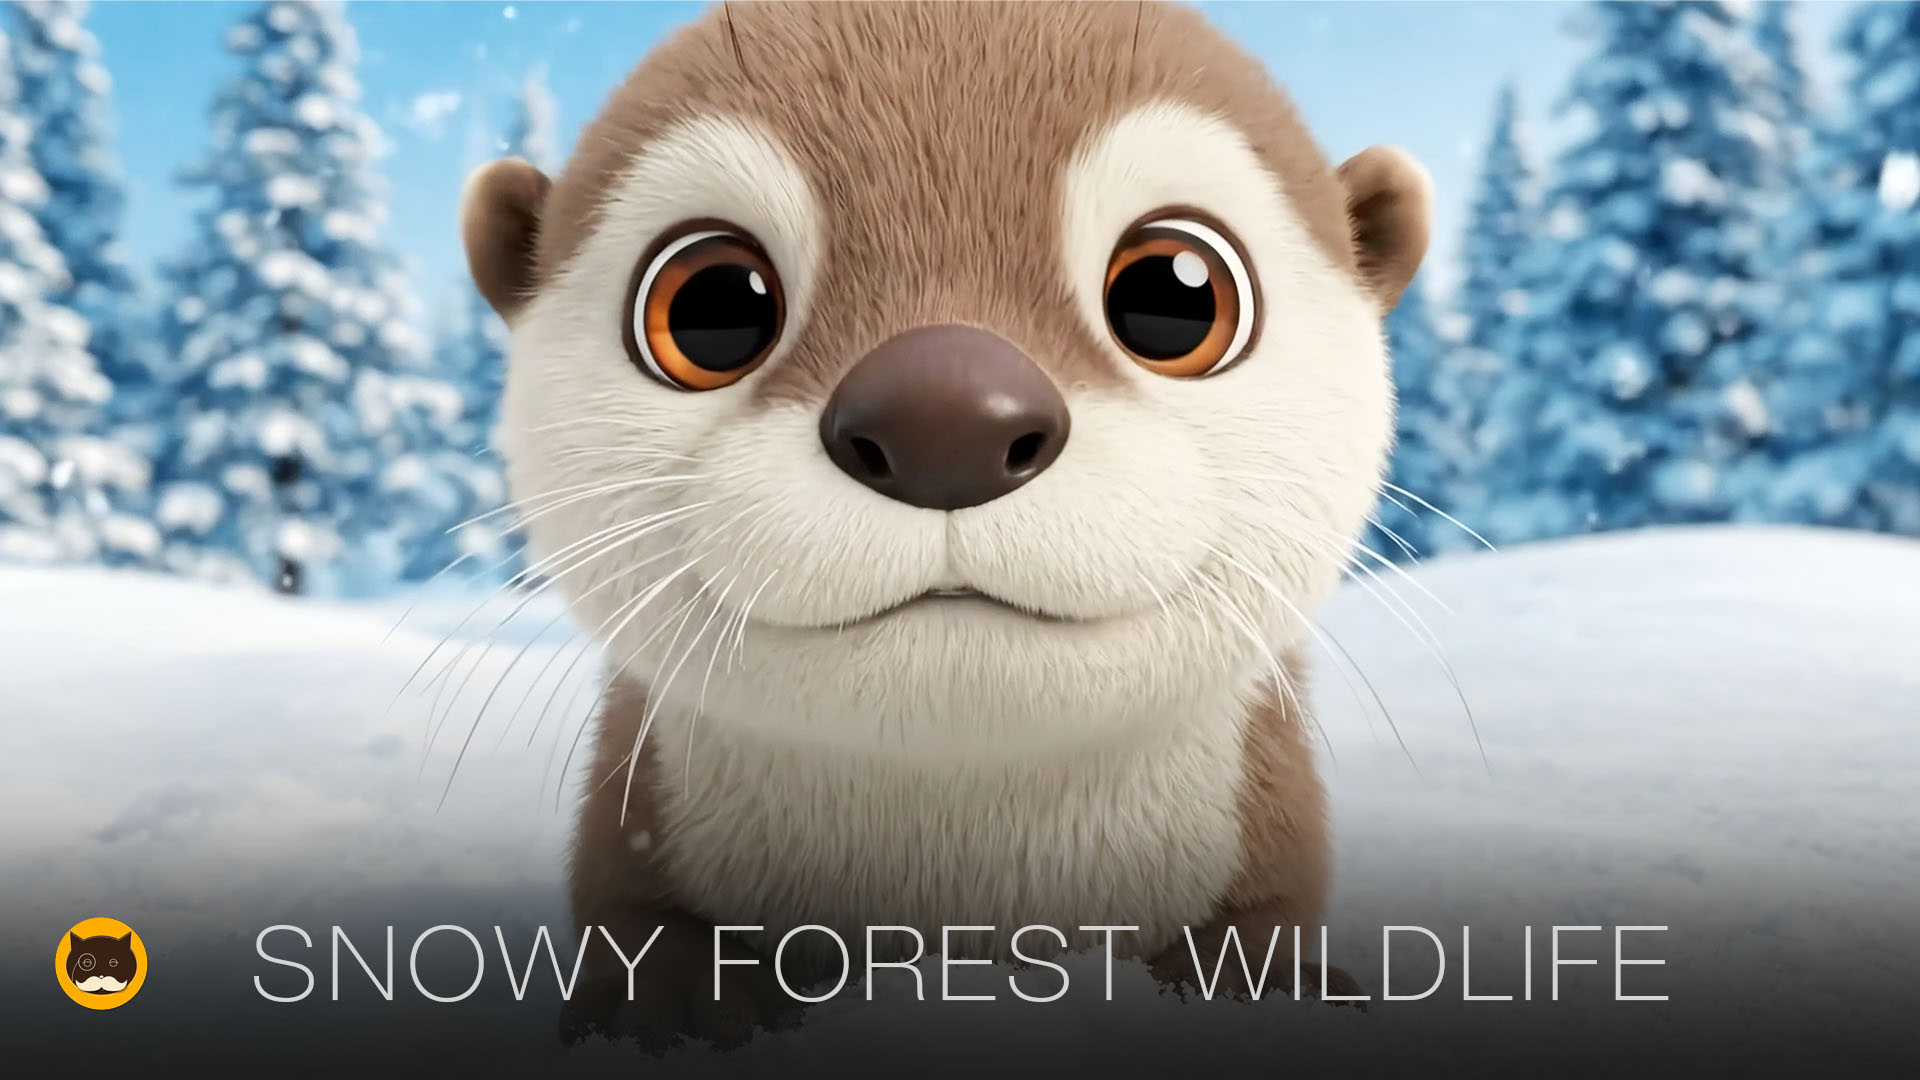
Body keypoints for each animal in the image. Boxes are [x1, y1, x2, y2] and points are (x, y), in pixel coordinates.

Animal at [459, 0, 1427, 1051]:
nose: (946, 419)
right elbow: (638, 928)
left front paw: (1275, 992)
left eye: (1178, 293)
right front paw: (669, 1007)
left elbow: (1264, 924)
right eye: (710, 302)